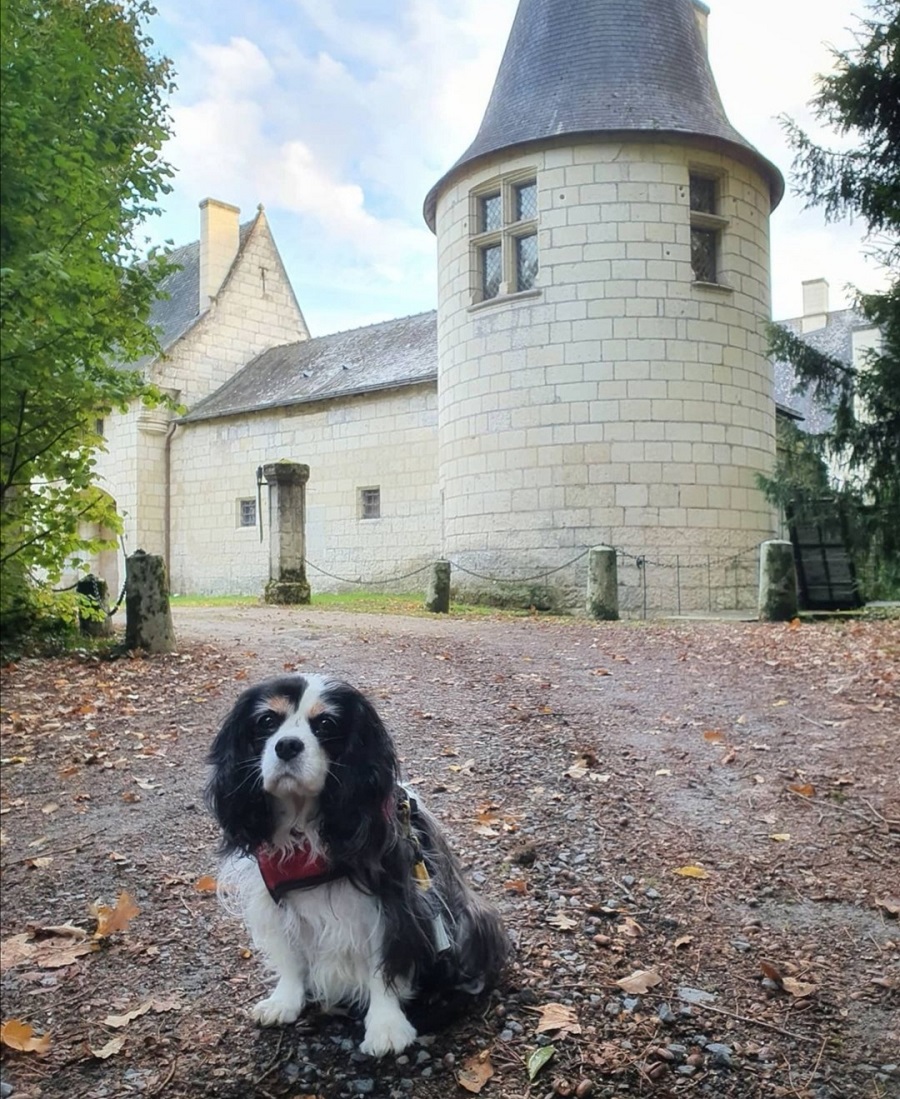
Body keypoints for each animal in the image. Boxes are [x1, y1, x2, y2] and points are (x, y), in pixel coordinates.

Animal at [206, 668, 509, 1055]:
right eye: (267, 721)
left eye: (325, 724)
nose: (287, 745)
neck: (304, 829)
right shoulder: (275, 902)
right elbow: (291, 956)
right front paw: (285, 1001)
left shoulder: (392, 905)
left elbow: (385, 964)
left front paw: (386, 1026)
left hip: (468, 919)